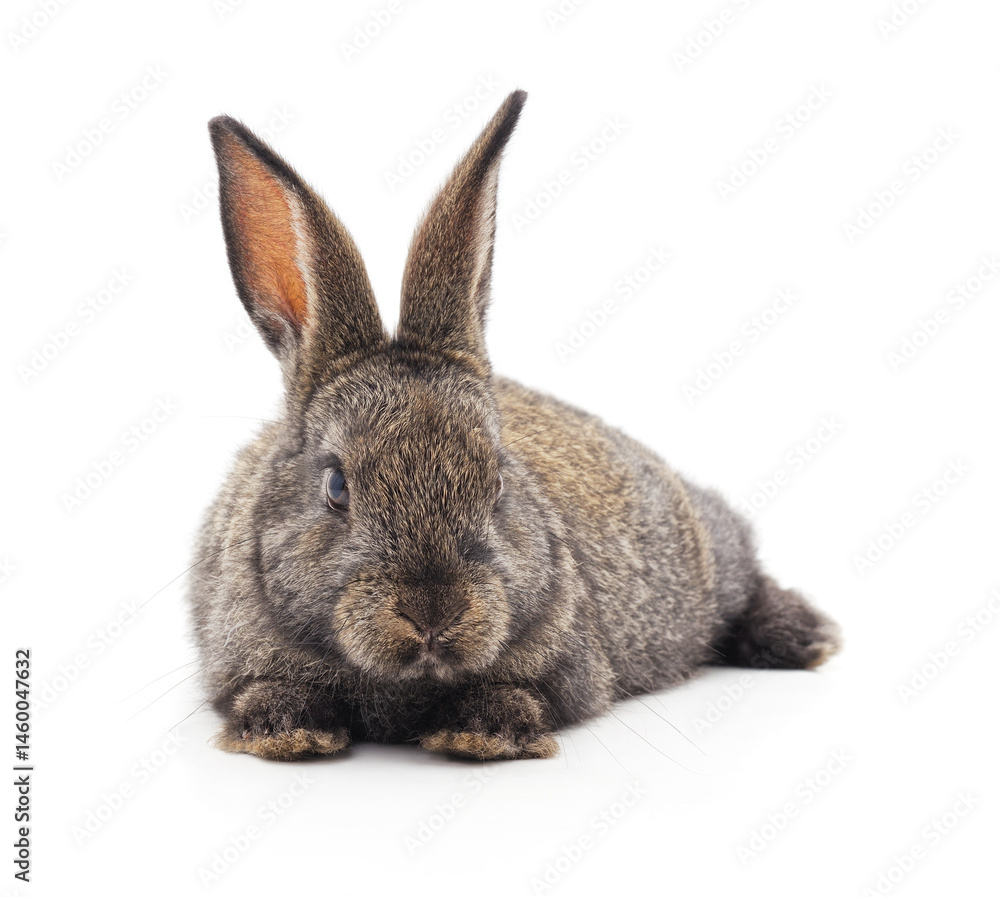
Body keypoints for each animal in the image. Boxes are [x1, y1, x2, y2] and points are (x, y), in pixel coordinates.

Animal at [190, 89, 840, 762]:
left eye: (498, 481)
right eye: (335, 487)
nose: (433, 614)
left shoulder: (565, 668)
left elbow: (524, 693)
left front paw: (481, 733)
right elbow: (265, 690)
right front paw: (289, 731)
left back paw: (804, 637)